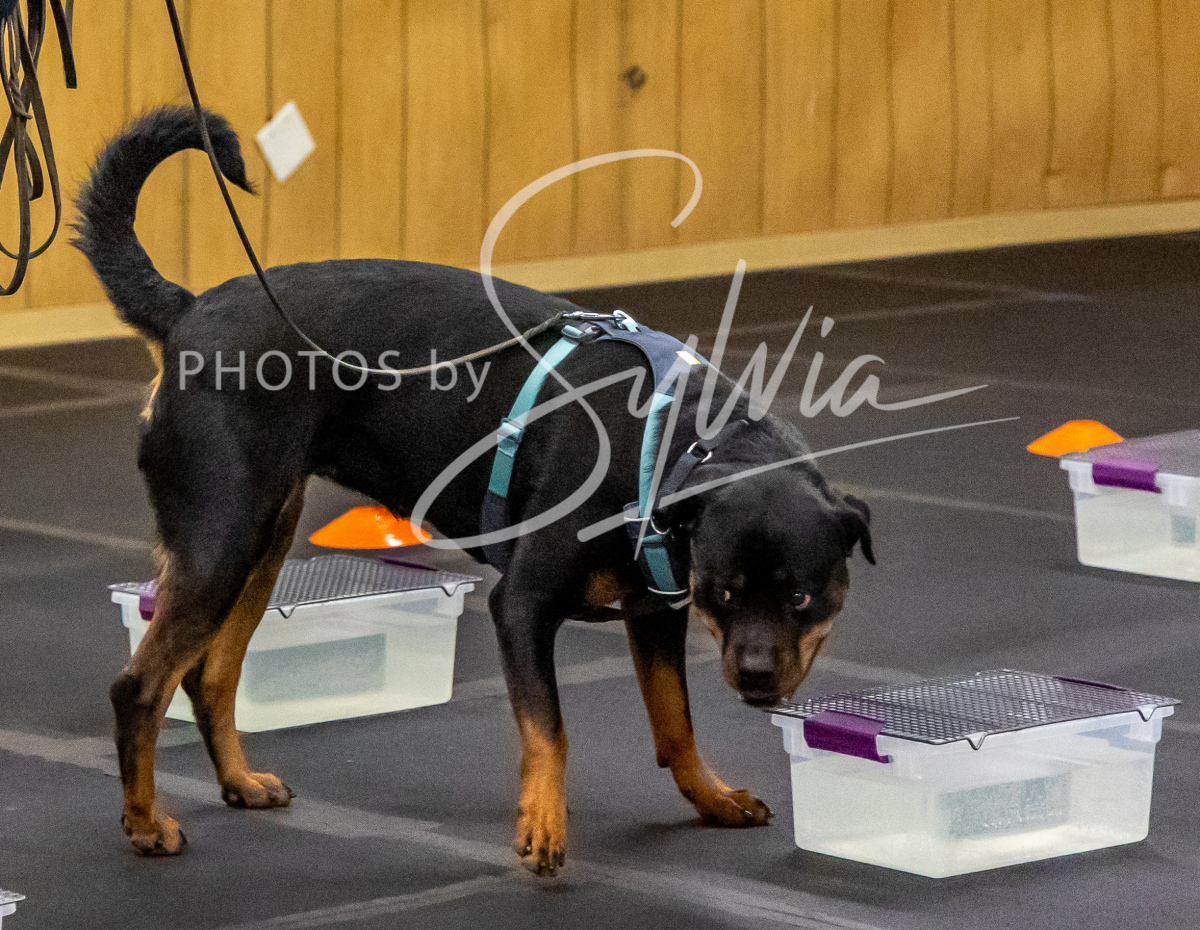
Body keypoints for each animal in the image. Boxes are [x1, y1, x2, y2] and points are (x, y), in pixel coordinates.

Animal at [74, 106, 873, 875]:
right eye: (726, 593)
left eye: (802, 595)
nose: (758, 674)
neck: (669, 448)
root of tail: (187, 310)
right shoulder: (521, 606)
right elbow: (550, 731)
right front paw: (543, 826)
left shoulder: (654, 612)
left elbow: (675, 723)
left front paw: (711, 798)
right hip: (222, 538)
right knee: (140, 687)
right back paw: (145, 824)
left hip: (265, 535)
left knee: (210, 675)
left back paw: (239, 783)